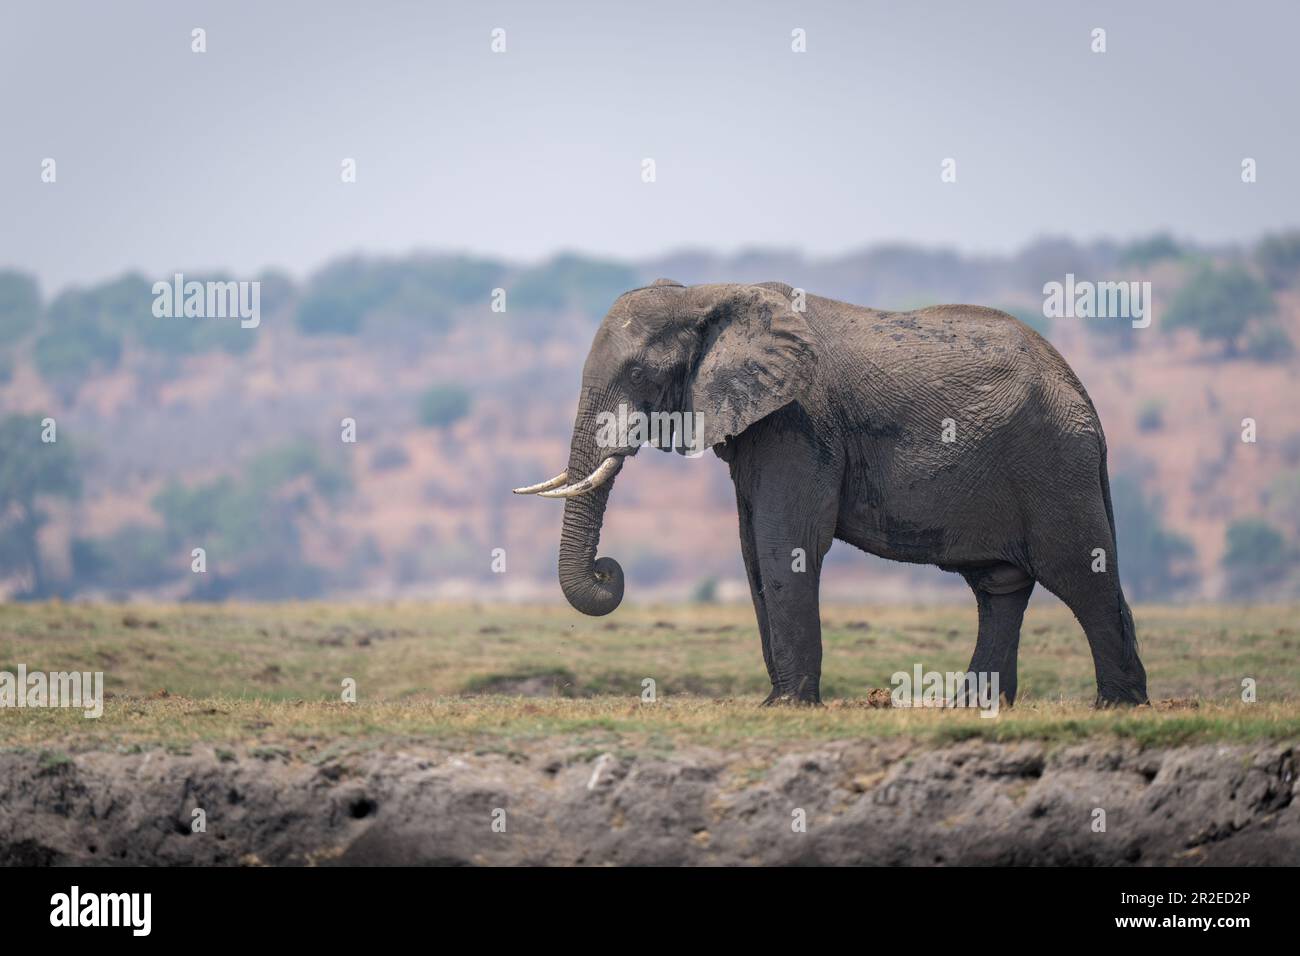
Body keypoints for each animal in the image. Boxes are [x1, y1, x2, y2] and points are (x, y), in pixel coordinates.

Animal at [514, 280, 1150, 707]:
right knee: (1000, 587)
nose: (608, 569)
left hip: (1053, 463)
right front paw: (776, 703)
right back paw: (976, 708)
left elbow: (786, 544)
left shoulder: (799, 419)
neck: (707, 293)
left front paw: (790, 706)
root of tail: (1081, 394)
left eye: (642, 375)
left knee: (1081, 573)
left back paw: (1117, 706)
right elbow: (752, 549)